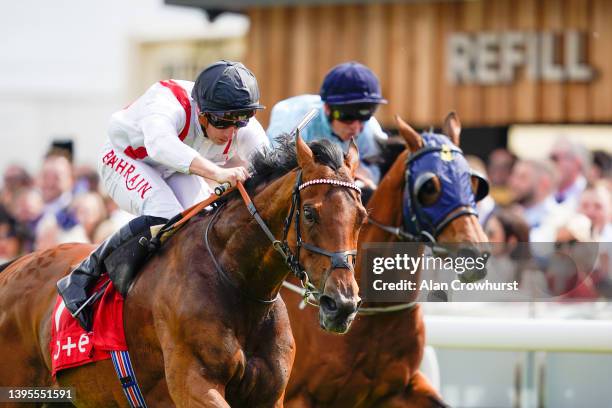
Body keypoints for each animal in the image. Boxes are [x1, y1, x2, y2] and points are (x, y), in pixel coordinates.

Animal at [0, 132, 368, 406]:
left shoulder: (269, 395)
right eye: (309, 213)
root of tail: (14, 265)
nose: (342, 305)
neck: (237, 284)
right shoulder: (194, 386)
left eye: (362, 216)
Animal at [280, 112, 488, 408]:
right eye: (430, 187)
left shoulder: (399, 389)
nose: (475, 253)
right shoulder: (297, 394)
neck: (376, 313)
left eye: (474, 183)